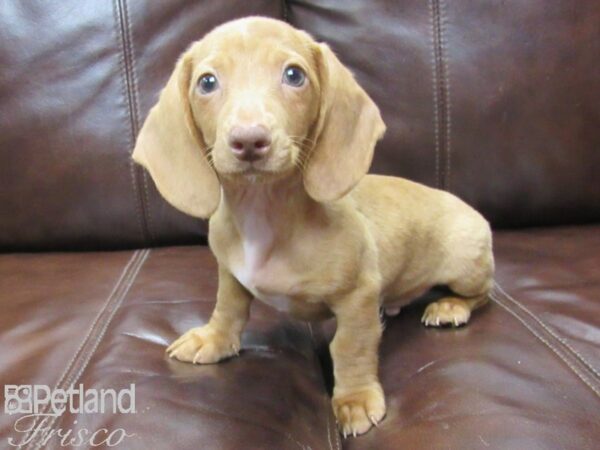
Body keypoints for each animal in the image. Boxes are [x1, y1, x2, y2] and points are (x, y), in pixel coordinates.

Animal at [134, 16, 494, 436]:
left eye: (294, 75)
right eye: (206, 82)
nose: (249, 141)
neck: (263, 211)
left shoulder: (358, 296)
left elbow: (350, 347)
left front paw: (354, 399)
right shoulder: (230, 273)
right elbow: (228, 308)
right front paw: (214, 338)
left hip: (465, 265)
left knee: (482, 294)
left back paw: (451, 306)